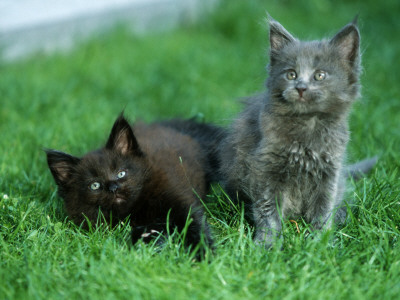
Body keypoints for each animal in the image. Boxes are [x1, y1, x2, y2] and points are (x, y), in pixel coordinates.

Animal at [219, 15, 366, 246]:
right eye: (291, 74)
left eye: (320, 75)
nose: (301, 87)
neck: (307, 126)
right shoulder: (264, 169)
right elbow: (268, 211)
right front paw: (267, 243)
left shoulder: (330, 170)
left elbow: (323, 208)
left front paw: (320, 241)